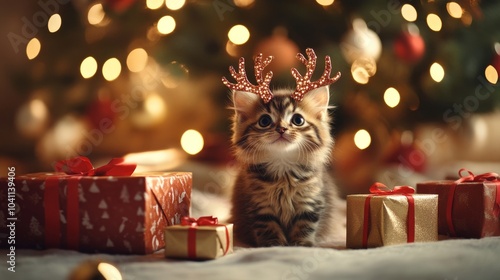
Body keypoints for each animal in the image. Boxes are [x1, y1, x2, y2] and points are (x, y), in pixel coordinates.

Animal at [226, 49, 344, 246]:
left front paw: (302, 245)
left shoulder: (310, 204)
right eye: (265, 121)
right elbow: (269, 229)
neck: (283, 171)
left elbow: (304, 227)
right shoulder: (260, 207)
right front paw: (275, 245)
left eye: (298, 120)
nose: (281, 129)